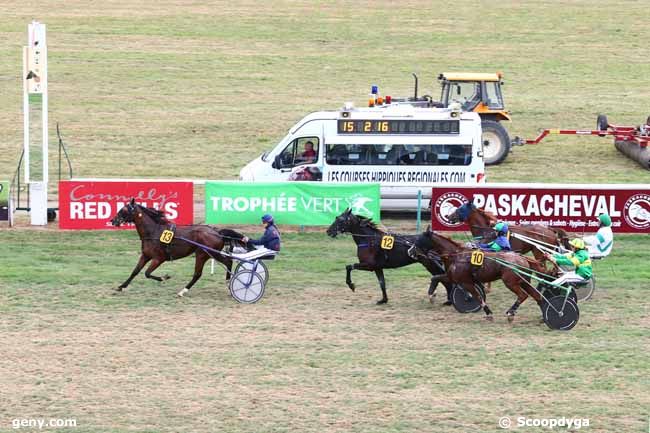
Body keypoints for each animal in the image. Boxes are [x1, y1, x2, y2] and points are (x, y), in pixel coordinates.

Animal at [110, 197, 247, 296]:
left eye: (124, 210)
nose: (113, 221)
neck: (153, 231)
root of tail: (216, 232)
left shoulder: (159, 259)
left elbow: (147, 273)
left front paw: (164, 277)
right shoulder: (145, 255)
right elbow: (135, 271)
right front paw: (121, 286)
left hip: (205, 254)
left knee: (207, 270)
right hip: (207, 254)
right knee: (216, 266)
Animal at [324, 208, 456, 304]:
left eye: (340, 220)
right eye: (336, 217)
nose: (328, 231)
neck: (369, 240)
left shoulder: (369, 265)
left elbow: (349, 267)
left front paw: (351, 285)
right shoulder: (377, 267)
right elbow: (382, 283)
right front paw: (384, 300)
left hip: (430, 264)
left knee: (444, 279)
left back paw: (449, 300)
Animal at [408, 226, 544, 320]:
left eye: (419, 239)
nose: (410, 251)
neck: (457, 255)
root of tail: (523, 258)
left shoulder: (466, 282)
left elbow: (477, 297)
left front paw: (488, 313)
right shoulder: (452, 277)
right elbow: (435, 278)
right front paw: (432, 295)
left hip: (510, 282)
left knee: (523, 295)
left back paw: (511, 313)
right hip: (523, 281)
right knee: (536, 296)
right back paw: (543, 317)